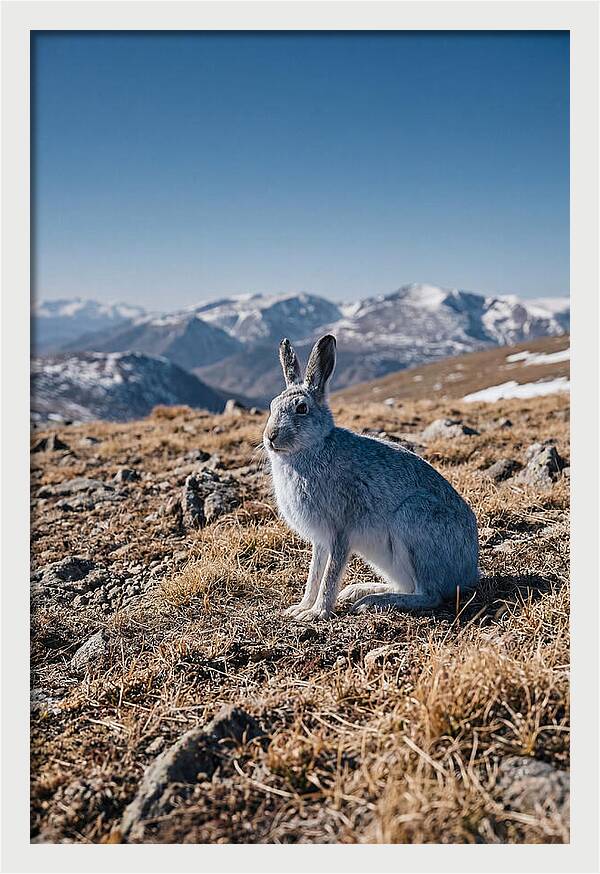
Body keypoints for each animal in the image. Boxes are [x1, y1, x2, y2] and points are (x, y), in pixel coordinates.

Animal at [263, 334, 479, 621]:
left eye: (301, 408)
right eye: (272, 405)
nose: (271, 436)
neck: (312, 448)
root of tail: (470, 572)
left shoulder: (340, 530)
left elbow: (330, 574)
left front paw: (317, 612)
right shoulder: (321, 540)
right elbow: (314, 573)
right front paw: (301, 608)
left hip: (414, 522)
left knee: (428, 595)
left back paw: (373, 601)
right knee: (407, 586)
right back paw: (359, 591)